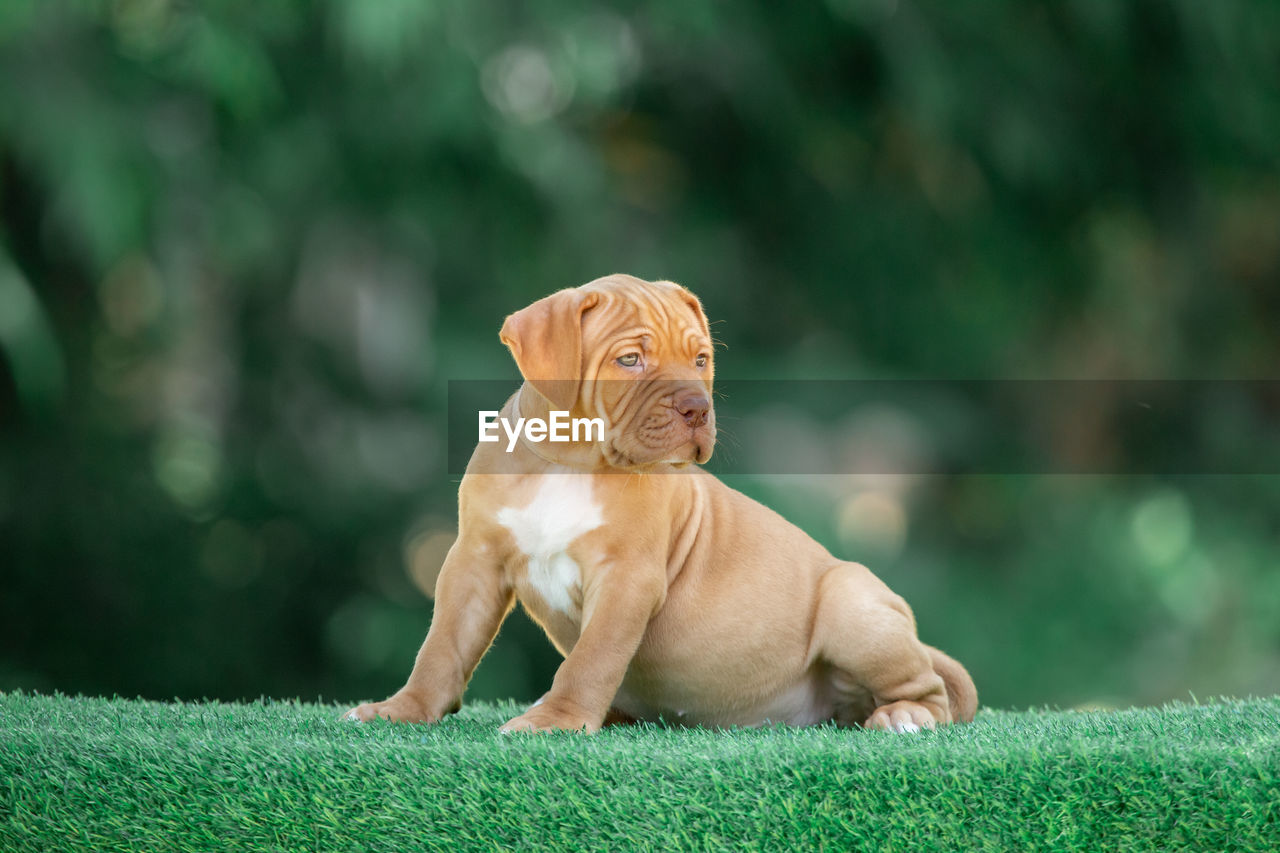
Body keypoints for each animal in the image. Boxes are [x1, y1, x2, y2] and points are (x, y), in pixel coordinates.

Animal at [345, 272, 972, 732]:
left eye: (701, 360)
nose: (697, 407)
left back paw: (906, 717)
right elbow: (442, 647)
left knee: (930, 689)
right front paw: (403, 710)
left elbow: (591, 660)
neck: (571, 463)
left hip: (852, 605)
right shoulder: (474, 561)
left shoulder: (627, 578)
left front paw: (556, 721)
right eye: (630, 361)